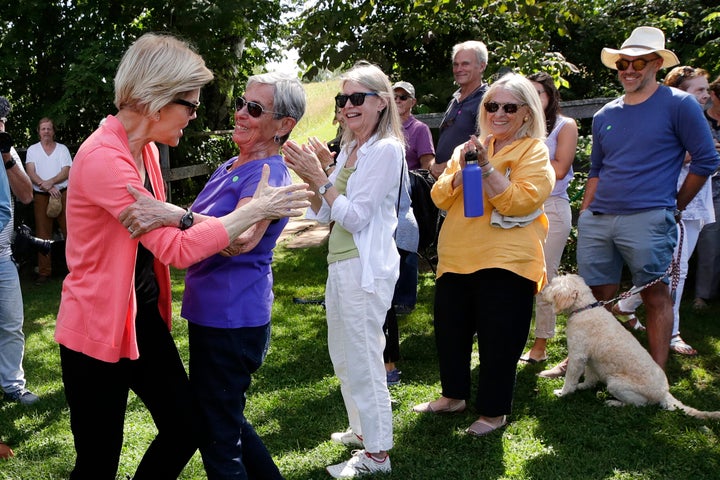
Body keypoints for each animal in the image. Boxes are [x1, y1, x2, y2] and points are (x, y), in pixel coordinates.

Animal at [544, 274, 716, 420]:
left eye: (552, 285)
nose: (543, 288)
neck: (584, 309)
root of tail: (664, 393)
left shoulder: (577, 355)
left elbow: (570, 378)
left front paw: (563, 393)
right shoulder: (590, 359)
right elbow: (590, 378)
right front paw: (581, 386)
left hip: (616, 383)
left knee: (640, 405)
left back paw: (614, 403)